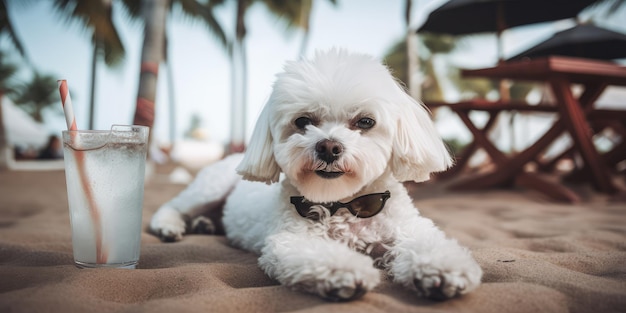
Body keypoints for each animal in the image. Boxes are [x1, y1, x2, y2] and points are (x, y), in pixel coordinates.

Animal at [149, 48, 480, 300]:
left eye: (365, 121)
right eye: (303, 121)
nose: (329, 147)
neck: (343, 202)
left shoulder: (406, 227)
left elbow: (426, 243)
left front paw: (442, 269)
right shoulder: (290, 240)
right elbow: (320, 254)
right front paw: (347, 271)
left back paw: (205, 224)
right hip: (211, 187)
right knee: (174, 206)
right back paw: (169, 226)